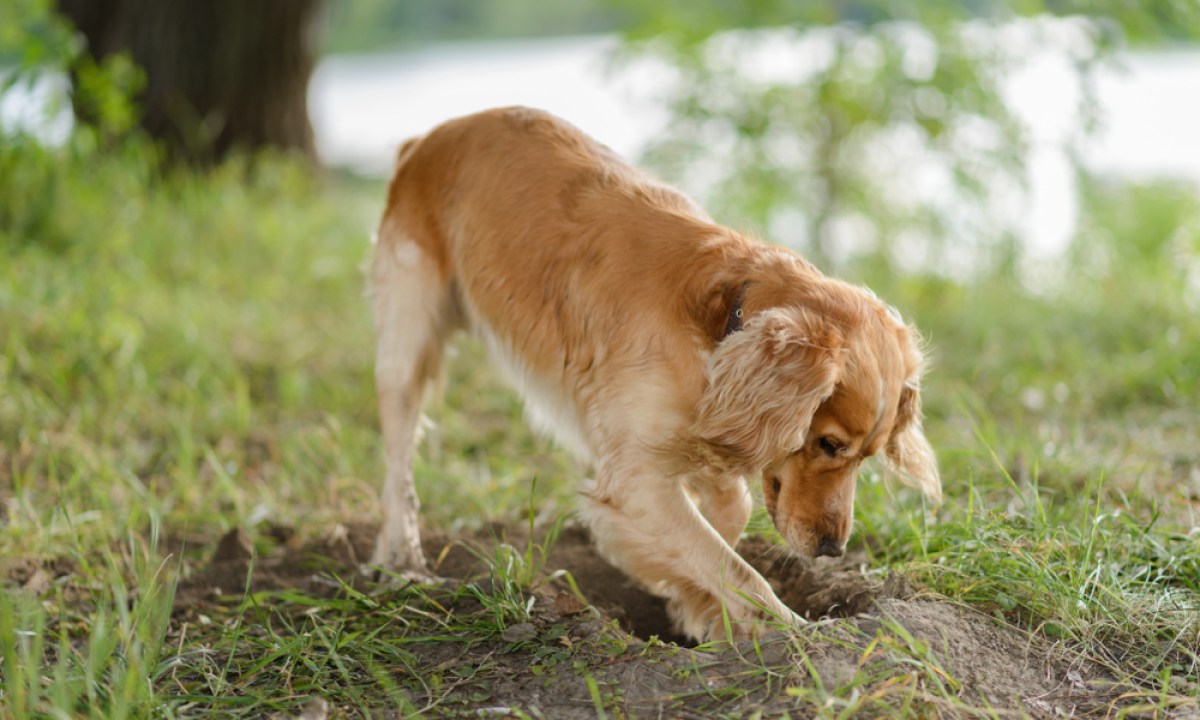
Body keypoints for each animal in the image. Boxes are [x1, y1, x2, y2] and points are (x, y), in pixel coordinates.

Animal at [364, 108, 936, 643]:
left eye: (866, 457)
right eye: (829, 444)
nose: (832, 549)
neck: (720, 323)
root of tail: (430, 137)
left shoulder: (703, 432)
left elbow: (726, 519)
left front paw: (694, 606)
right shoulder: (636, 474)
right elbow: (736, 569)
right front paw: (787, 629)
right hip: (405, 347)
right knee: (397, 470)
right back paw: (402, 562)